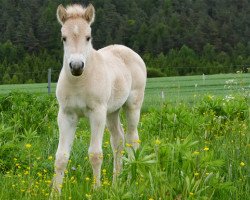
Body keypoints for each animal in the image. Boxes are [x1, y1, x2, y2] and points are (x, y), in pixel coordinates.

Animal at [52, 3, 146, 193]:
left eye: (88, 37)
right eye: (63, 38)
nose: (76, 66)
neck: (80, 82)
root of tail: (129, 51)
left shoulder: (97, 113)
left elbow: (95, 154)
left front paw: (96, 190)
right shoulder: (66, 115)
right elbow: (61, 157)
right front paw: (54, 193)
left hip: (132, 106)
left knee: (132, 139)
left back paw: (132, 179)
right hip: (112, 111)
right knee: (118, 140)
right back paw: (116, 183)